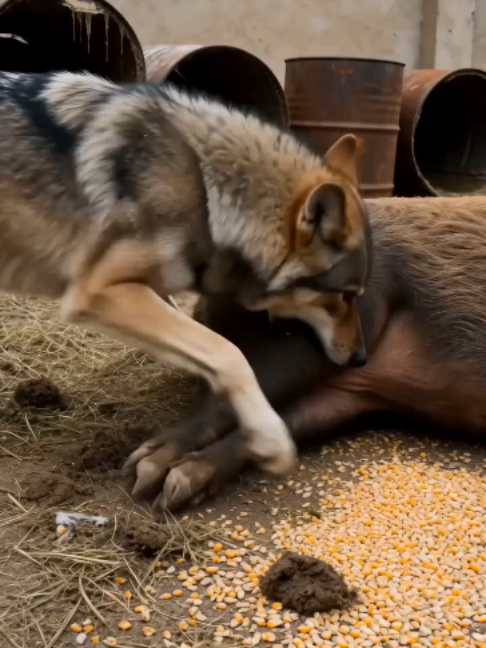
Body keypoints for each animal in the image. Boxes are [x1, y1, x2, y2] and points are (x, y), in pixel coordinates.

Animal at [0, 71, 370, 477]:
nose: (361, 358)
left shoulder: (147, 290)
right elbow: (228, 352)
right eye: (346, 295)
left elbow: (200, 343)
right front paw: (269, 438)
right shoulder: (99, 290)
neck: (207, 192)